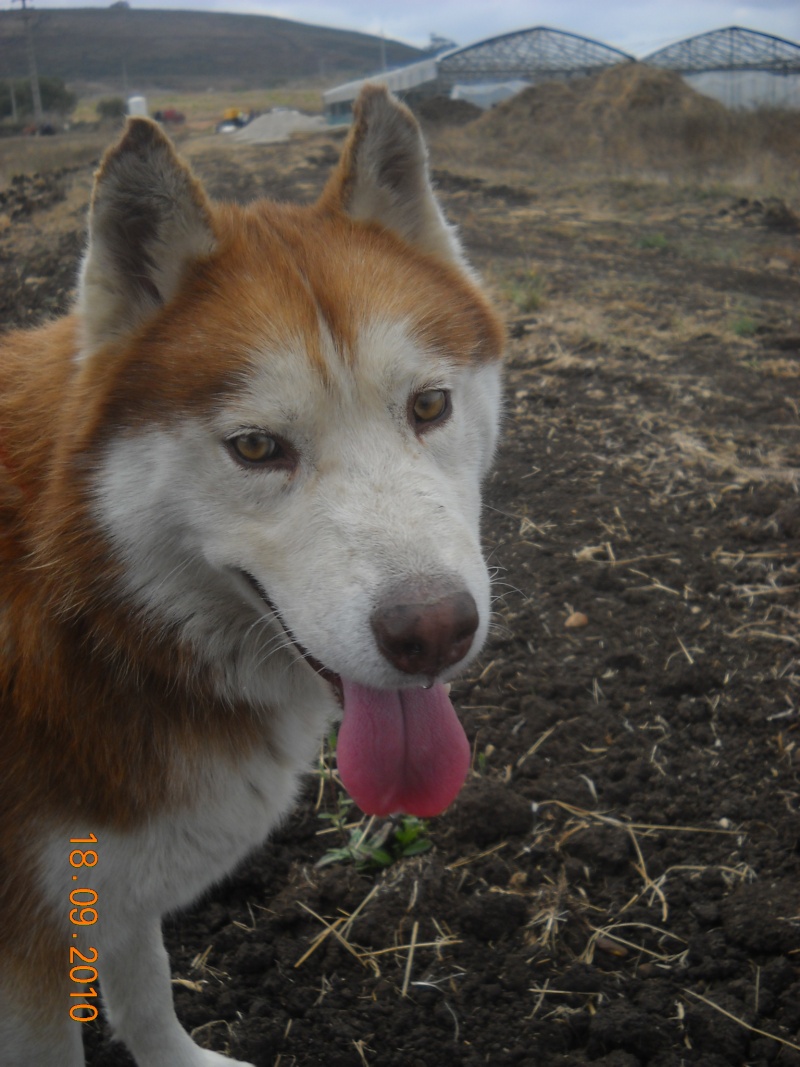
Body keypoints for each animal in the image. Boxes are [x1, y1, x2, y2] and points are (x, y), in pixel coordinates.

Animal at [0, 85, 501, 1067]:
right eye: (257, 447)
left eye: (429, 405)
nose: (434, 631)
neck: (90, 610)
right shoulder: (28, 954)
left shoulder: (110, 888)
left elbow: (148, 984)